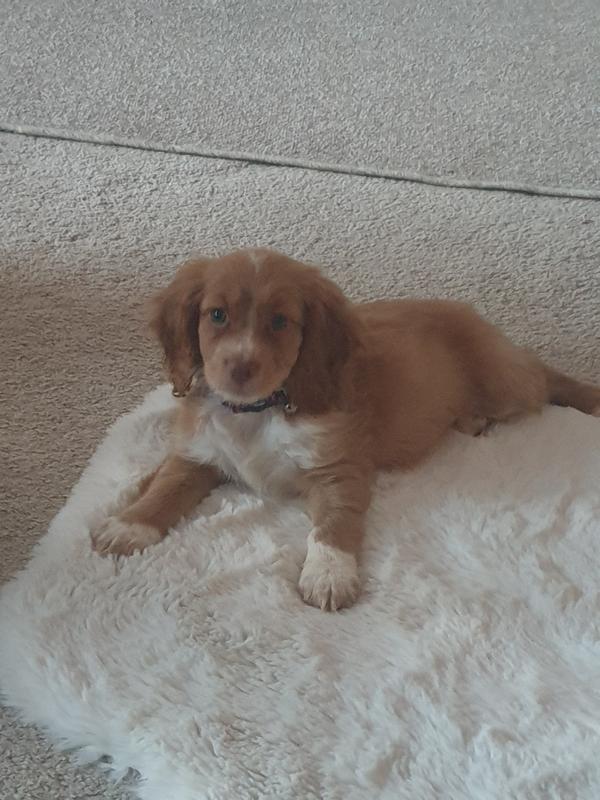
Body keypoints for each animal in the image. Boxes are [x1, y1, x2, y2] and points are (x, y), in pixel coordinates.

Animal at [89, 250, 600, 612]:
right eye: (216, 315)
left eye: (280, 321)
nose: (239, 369)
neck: (259, 411)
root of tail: (478, 318)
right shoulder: (197, 455)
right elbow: (165, 489)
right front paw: (129, 524)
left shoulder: (339, 469)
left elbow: (333, 526)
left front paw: (329, 575)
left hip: (504, 382)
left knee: (541, 378)